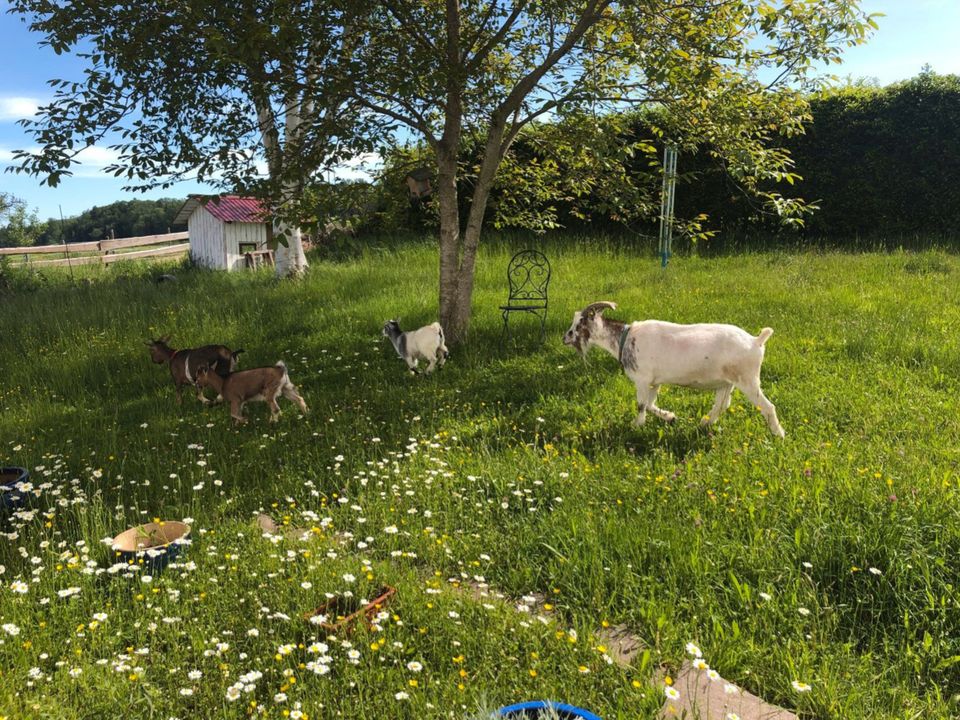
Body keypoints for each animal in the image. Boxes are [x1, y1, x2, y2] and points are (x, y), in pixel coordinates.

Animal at [560, 300, 784, 436]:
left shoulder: (642, 380)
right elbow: (650, 404)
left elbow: (641, 405)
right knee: (721, 405)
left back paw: (778, 435)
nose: (565, 338)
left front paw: (636, 426)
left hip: (748, 380)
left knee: (768, 407)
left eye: (580, 323)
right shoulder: (654, 382)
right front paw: (670, 417)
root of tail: (756, 341)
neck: (625, 339)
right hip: (726, 383)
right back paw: (703, 424)